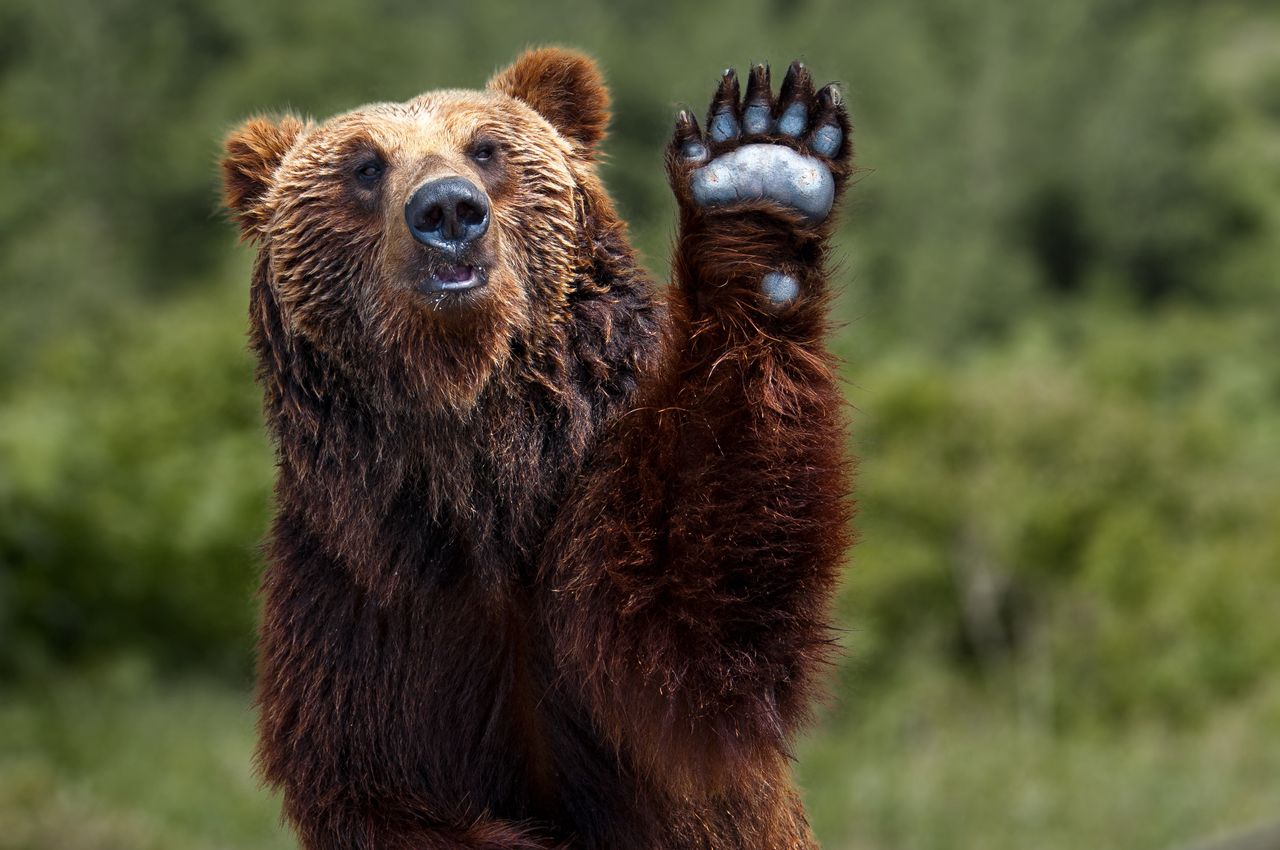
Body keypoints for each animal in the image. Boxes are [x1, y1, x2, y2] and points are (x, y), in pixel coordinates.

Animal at [222, 48, 849, 850]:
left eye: (486, 148)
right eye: (365, 166)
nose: (447, 211)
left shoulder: (593, 514)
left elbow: (691, 621)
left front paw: (762, 168)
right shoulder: (353, 602)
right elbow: (381, 795)